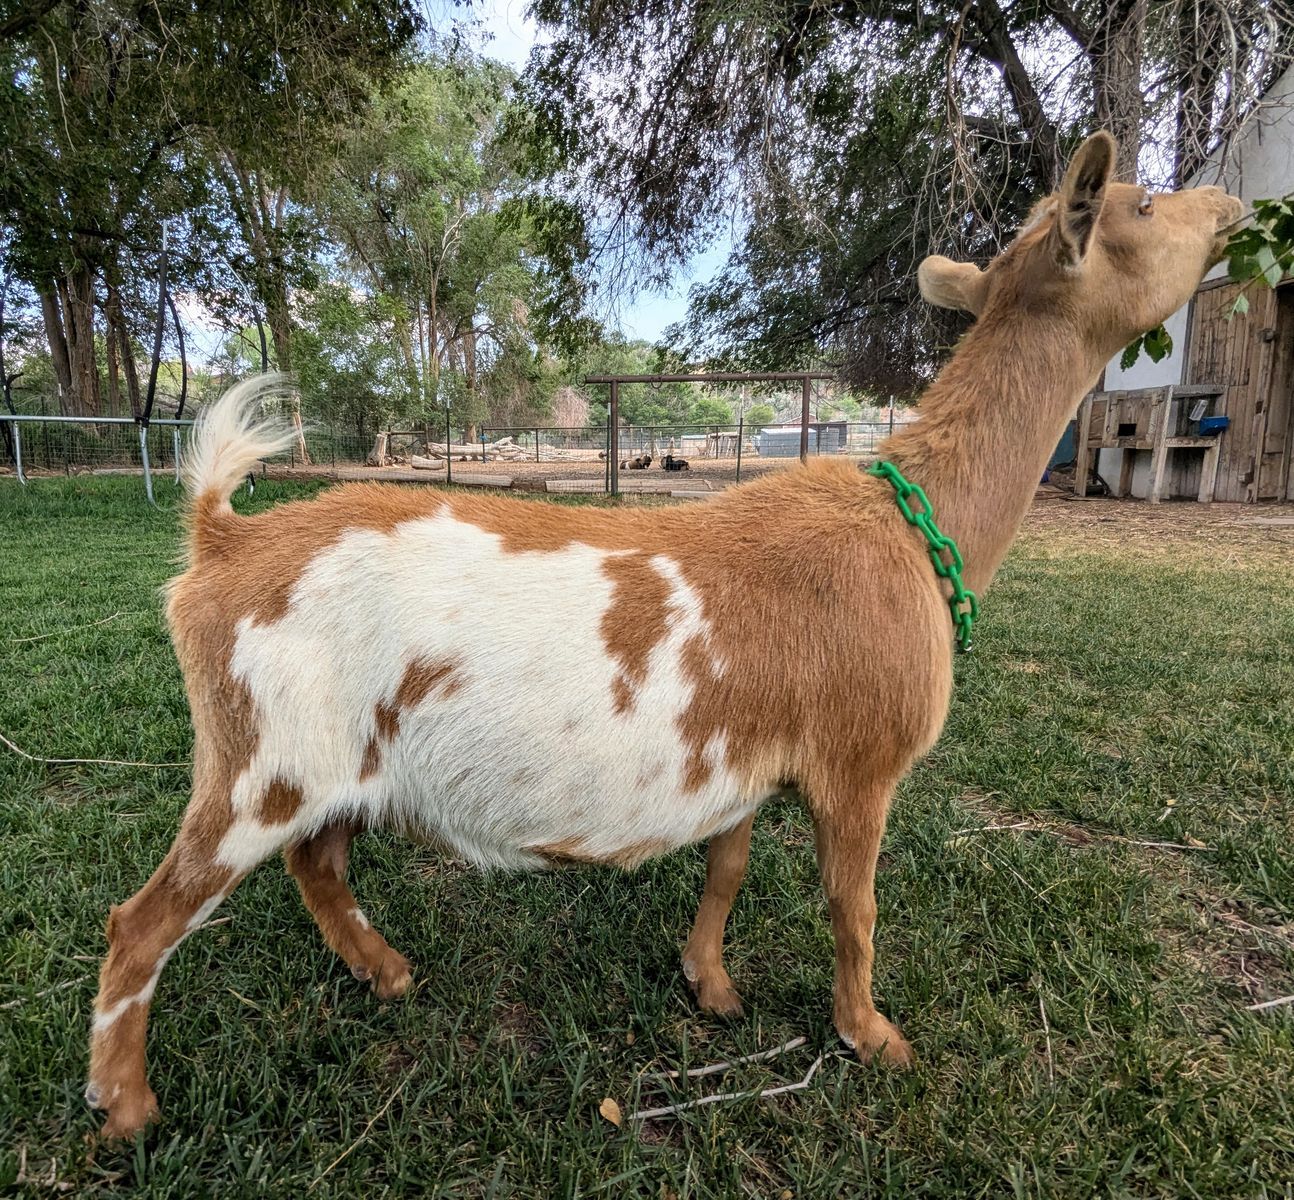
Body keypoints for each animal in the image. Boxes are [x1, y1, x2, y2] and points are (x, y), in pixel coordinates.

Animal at [87, 133, 1242, 1139]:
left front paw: (713, 986)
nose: (1231, 206)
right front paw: (871, 1036)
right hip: (259, 761)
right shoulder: (859, 764)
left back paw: (386, 973)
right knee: (143, 922)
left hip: (327, 759)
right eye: (1141, 205)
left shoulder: (744, 756)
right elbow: (854, 907)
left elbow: (726, 866)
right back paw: (126, 1109)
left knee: (316, 863)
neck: (915, 519)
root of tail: (222, 540)